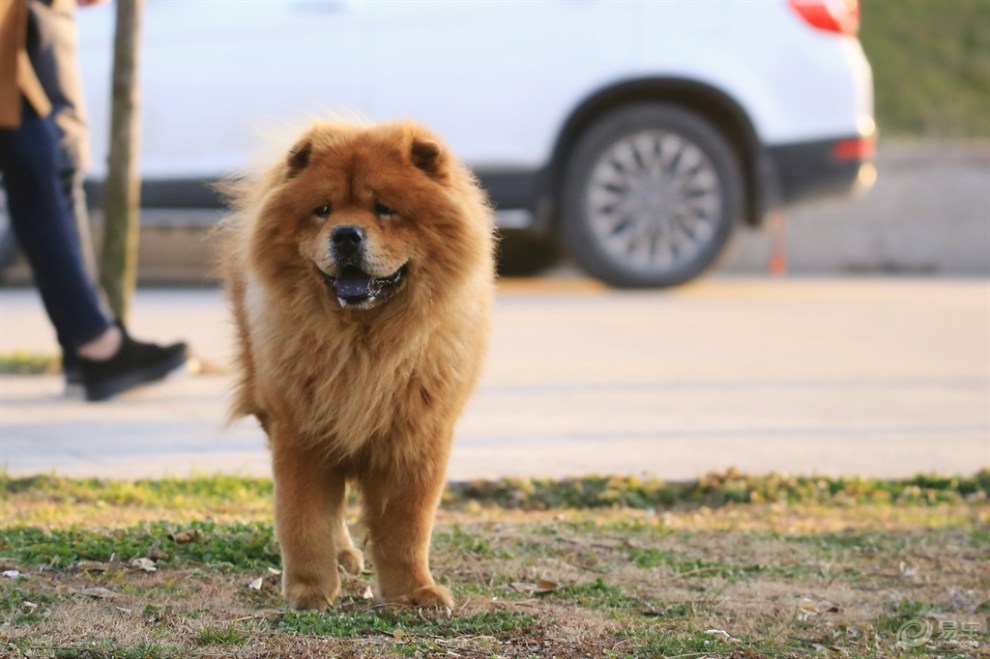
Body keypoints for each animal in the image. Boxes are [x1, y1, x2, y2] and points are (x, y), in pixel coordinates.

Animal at [218, 121, 496, 612]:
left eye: (384, 208)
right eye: (322, 210)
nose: (346, 234)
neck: (364, 344)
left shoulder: (417, 437)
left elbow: (407, 527)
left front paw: (415, 593)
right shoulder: (301, 431)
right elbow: (303, 518)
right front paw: (309, 590)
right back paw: (341, 557)